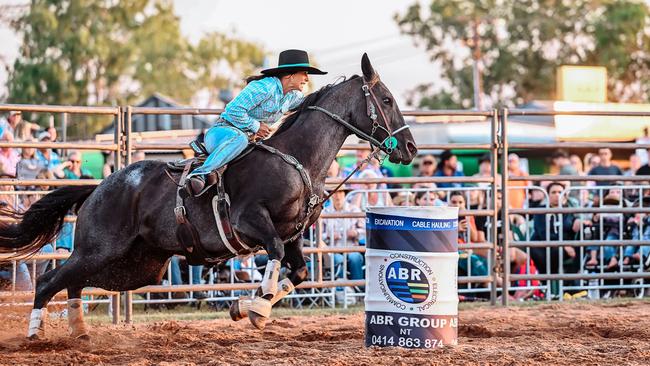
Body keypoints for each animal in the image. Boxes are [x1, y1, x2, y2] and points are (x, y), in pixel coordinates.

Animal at [0, 53, 416, 338]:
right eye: (387, 99)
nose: (410, 148)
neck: (296, 160)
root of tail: (100, 188)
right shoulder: (252, 222)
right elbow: (274, 257)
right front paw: (255, 308)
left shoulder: (294, 235)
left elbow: (296, 272)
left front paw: (245, 306)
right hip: (100, 249)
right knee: (49, 279)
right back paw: (37, 333)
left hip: (136, 265)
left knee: (73, 282)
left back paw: (80, 331)